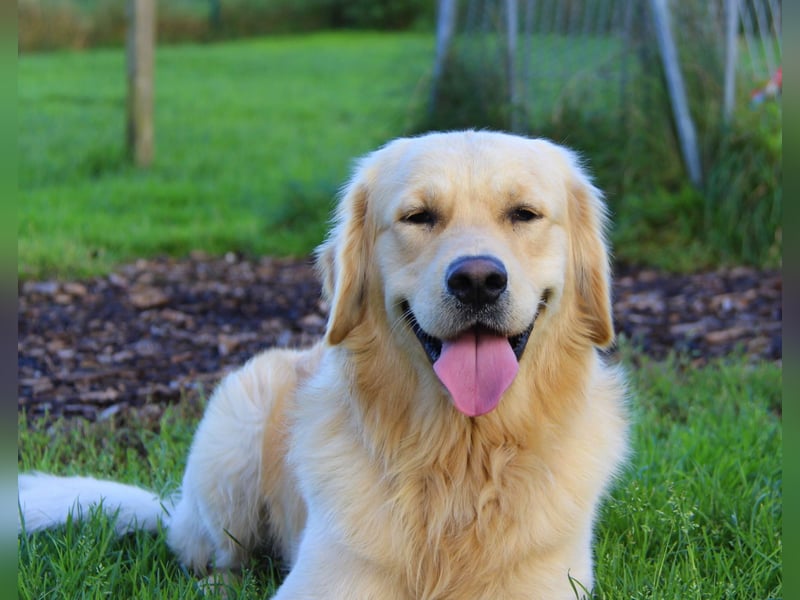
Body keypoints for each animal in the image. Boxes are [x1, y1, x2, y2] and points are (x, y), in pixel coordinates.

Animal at [18, 129, 628, 596]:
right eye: (419, 217)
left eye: (524, 214)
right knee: (212, 556)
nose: (477, 280)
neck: (457, 458)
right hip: (233, 442)